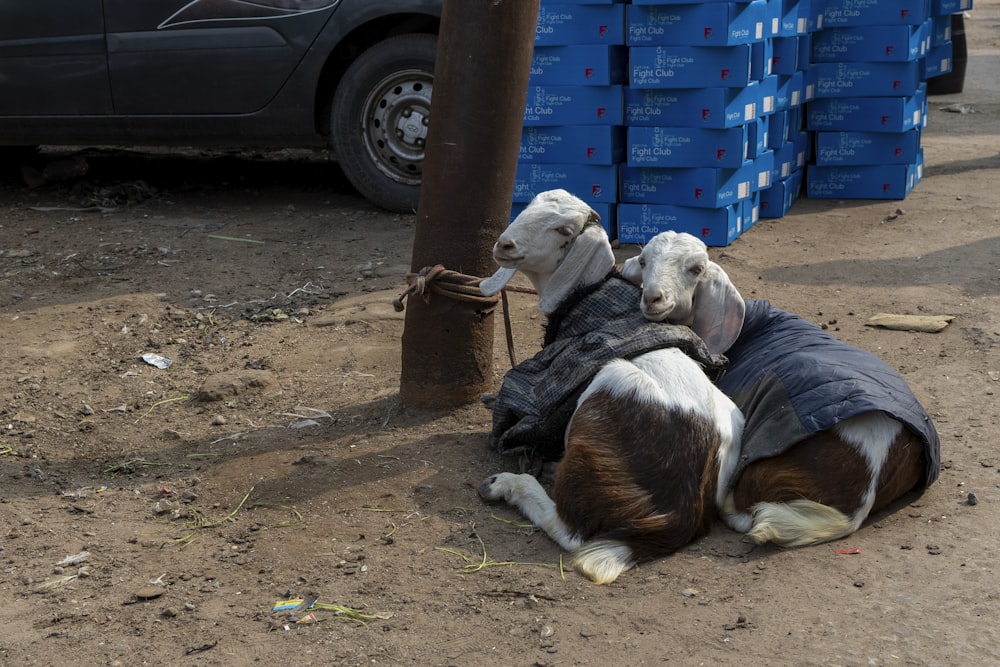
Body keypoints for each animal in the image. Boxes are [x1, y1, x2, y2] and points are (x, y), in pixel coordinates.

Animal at [476, 189, 744, 584]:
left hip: (612, 384)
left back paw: (505, 484)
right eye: (528, 206)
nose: (504, 245)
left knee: (573, 529)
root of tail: (681, 514)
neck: (588, 296)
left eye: (563, 229)